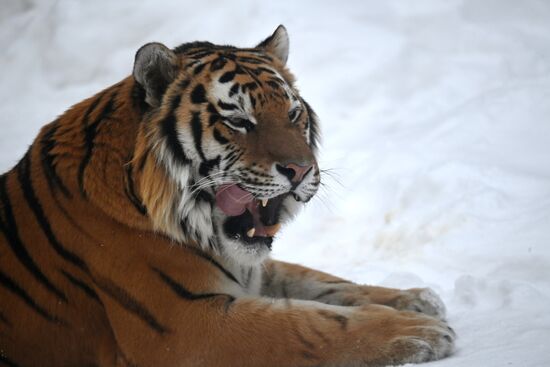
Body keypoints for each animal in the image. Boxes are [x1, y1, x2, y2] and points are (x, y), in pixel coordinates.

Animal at [0, 26, 458, 367]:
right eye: (238, 121)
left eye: (293, 114)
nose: (301, 170)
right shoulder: (189, 325)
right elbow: (311, 325)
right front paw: (418, 330)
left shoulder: (247, 269)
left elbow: (318, 282)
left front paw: (414, 299)